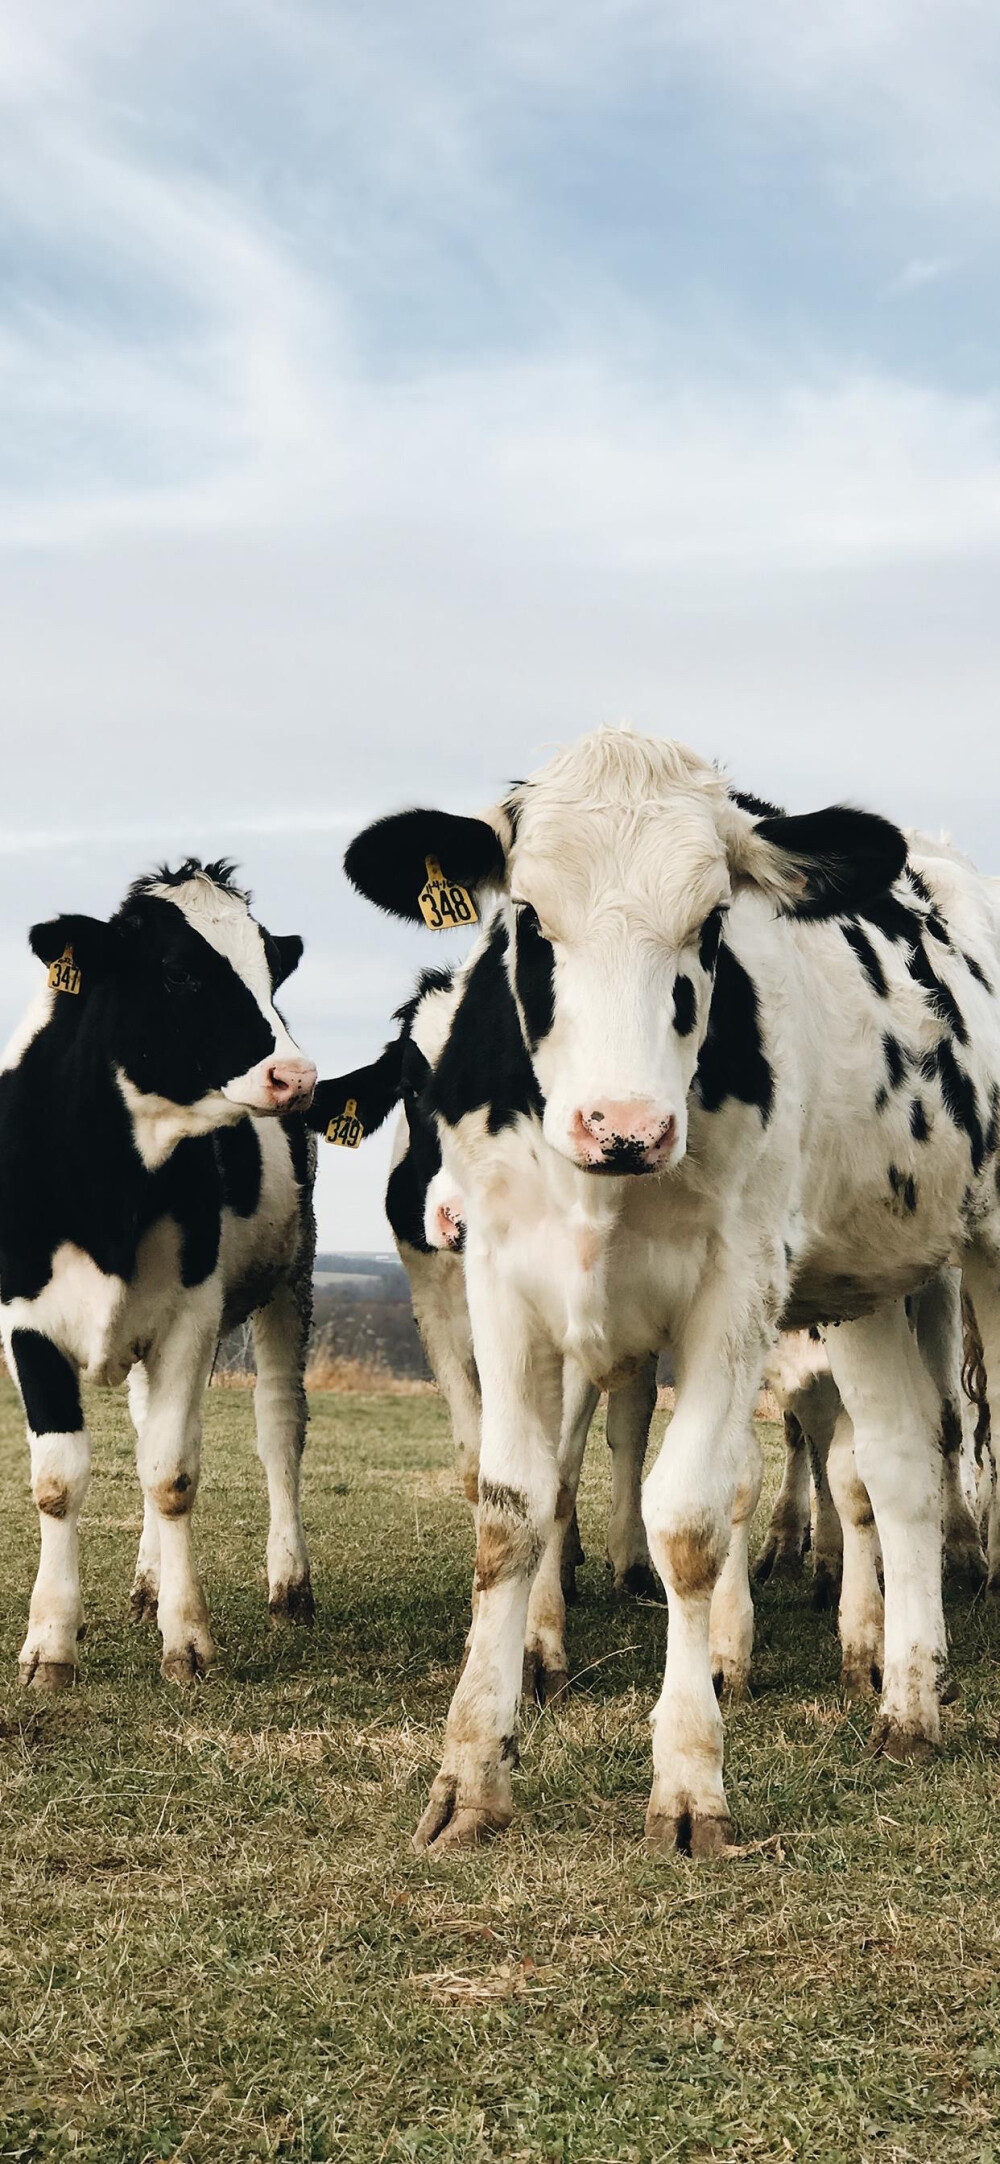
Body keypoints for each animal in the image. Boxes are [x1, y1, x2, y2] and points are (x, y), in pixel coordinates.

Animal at [0, 861, 316, 1687]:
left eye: (271, 968)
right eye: (180, 972)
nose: (296, 1074)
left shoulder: (190, 1316)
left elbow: (171, 1475)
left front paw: (188, 1639)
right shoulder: (25, 1324)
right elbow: (59, 1479)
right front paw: (50, 1643)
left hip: (290, 1280)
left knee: (279, 1428)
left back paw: (289, 1586)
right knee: (147, 1424)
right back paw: (144, 1586)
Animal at [341, 731, 1000, 1861]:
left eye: (711, 925)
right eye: (527, 919)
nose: (624, 1125)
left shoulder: (736, 1291)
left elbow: (691, 1518)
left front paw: (691, 1780)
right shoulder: (503, 1283)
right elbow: (510, 1510)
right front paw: (470, 1774)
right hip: (870, 1278)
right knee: (901, 1468)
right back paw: (908, 1705)